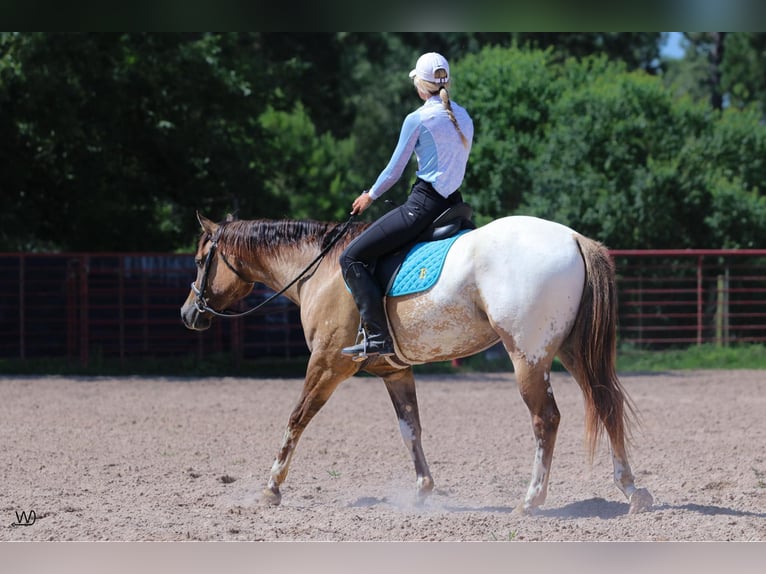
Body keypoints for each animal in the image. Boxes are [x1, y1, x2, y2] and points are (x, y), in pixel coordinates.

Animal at [180, 213, 656, 516]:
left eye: (201, 261)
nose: (188, 313)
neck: (324, 270)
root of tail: (574, 238)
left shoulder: (327, 365)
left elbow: (296, 419)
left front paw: (270, 488)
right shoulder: (395, 371)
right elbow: (411, 428)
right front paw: (423, 491)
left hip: (528, 358)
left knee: (546, 419)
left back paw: (530, 500)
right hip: (573, 353)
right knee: (606, 405)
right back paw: (632, 490)